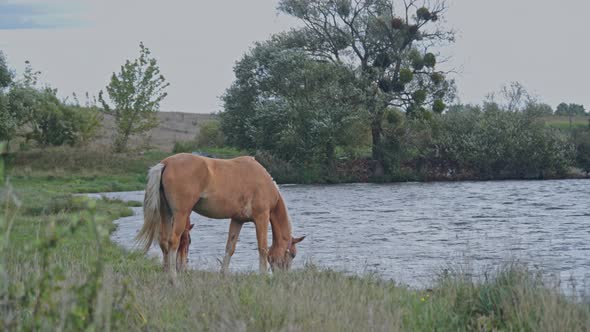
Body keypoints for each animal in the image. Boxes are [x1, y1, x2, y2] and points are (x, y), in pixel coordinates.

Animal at [137, 154, 308, 280]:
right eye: (292, 254)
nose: (283, 277)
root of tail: (165, 163)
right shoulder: (262, 217)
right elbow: (263, 247)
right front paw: (263, 275)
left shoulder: (237, 220)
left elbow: (230, 248)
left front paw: (224, 274)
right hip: (181, 214)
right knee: (173, 242)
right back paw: (173, 277)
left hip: (166, 213)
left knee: (164, 242)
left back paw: (166, 274)